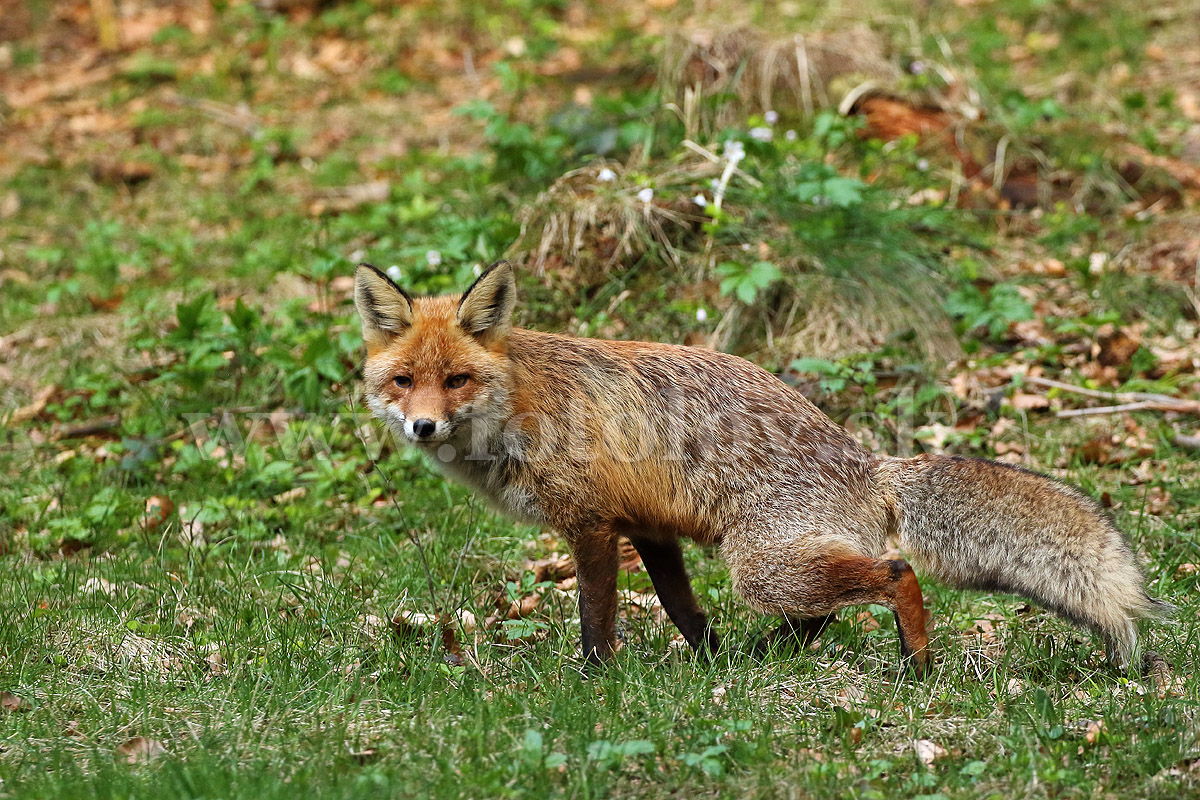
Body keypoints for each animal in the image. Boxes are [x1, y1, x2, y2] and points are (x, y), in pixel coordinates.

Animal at [352, 262, 1171, 676]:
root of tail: (865, 461)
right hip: (774, 563)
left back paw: (915, 661)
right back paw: (763, 656)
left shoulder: (592, 523)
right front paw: (709, 663)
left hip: (761, 567)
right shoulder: (648, 527)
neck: (522, 408)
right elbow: (683, 609)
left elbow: (595, 617)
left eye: (457, 379)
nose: (423, 425)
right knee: (825, 611)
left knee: (895, 574)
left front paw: (595, 681)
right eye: (405, 381)